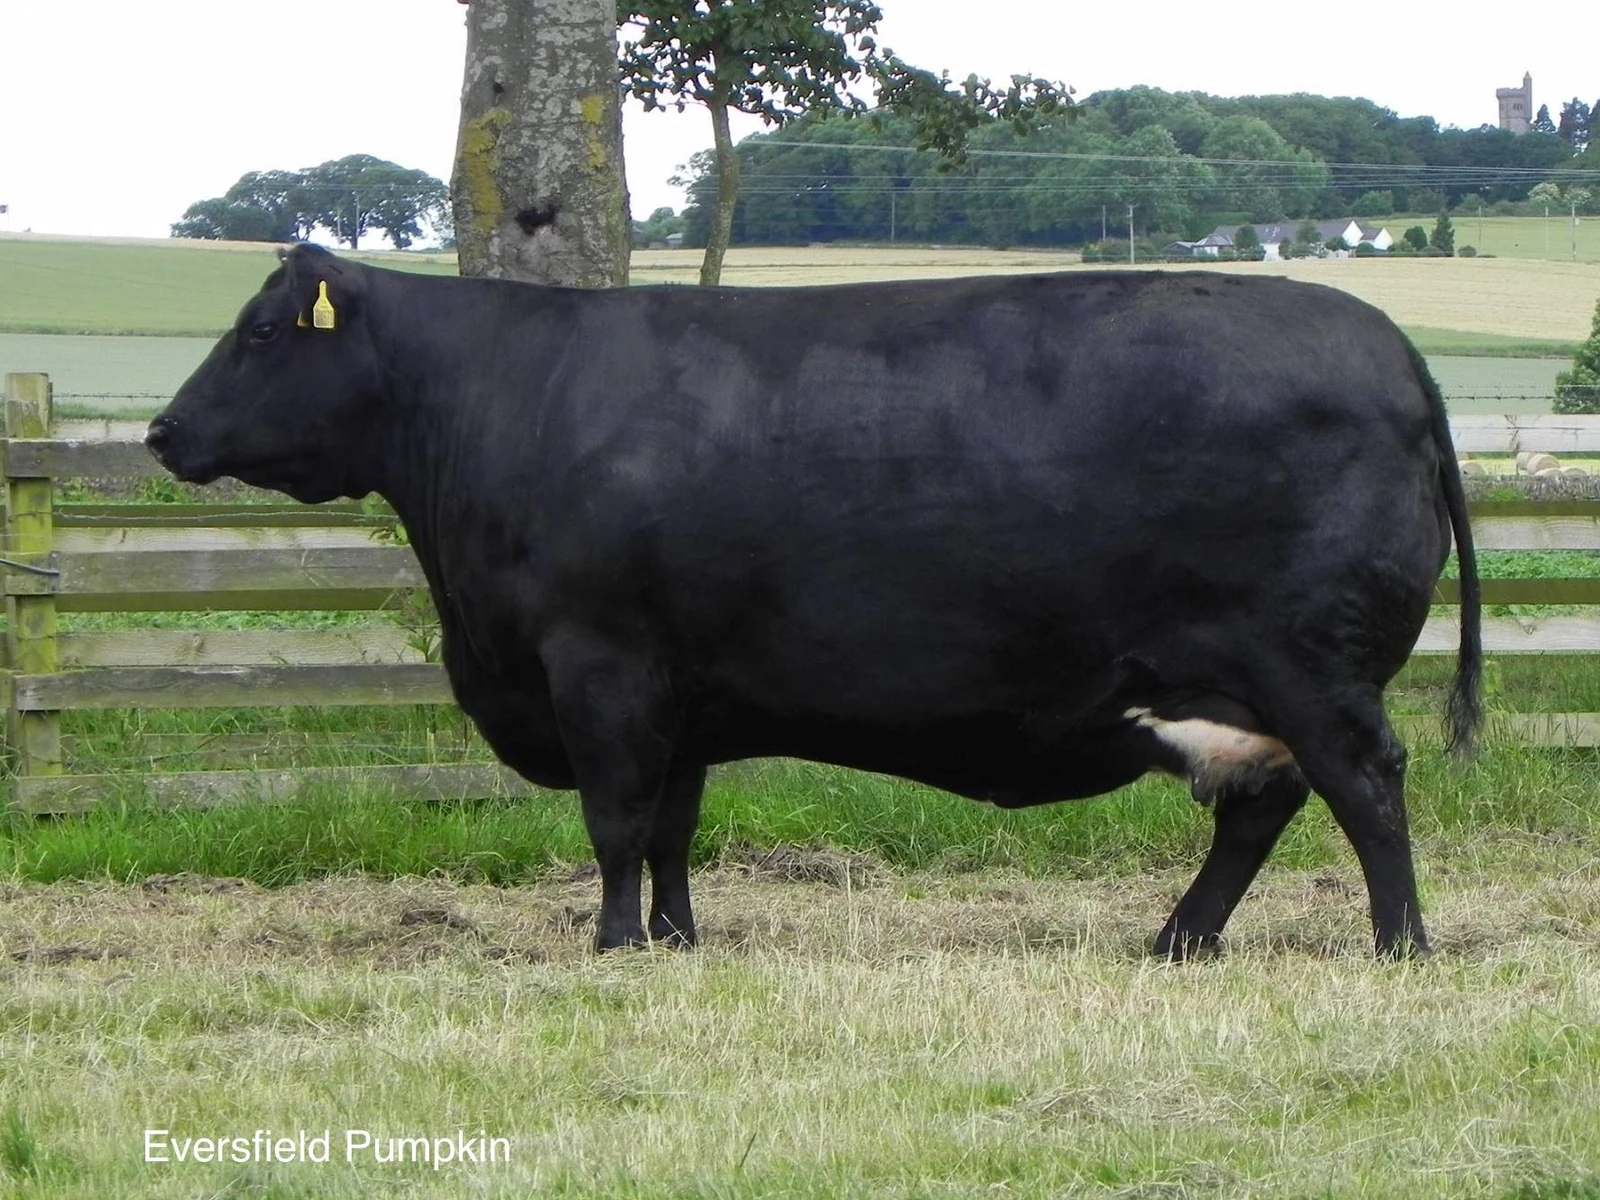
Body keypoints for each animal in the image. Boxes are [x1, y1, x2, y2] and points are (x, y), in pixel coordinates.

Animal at [147, 244, 1481, 960]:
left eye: (259, 331)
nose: (161, 431)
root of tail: (1389, 348)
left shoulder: (599, 666)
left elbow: (615, 823)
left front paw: (613, 943)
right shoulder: (676, 689)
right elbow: (671, 828)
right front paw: (677, 941)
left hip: (1313, 669)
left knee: (1364, 790)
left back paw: (1399, 945)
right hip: (1245, 686)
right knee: (1261, 809)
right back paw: (1176, 940)